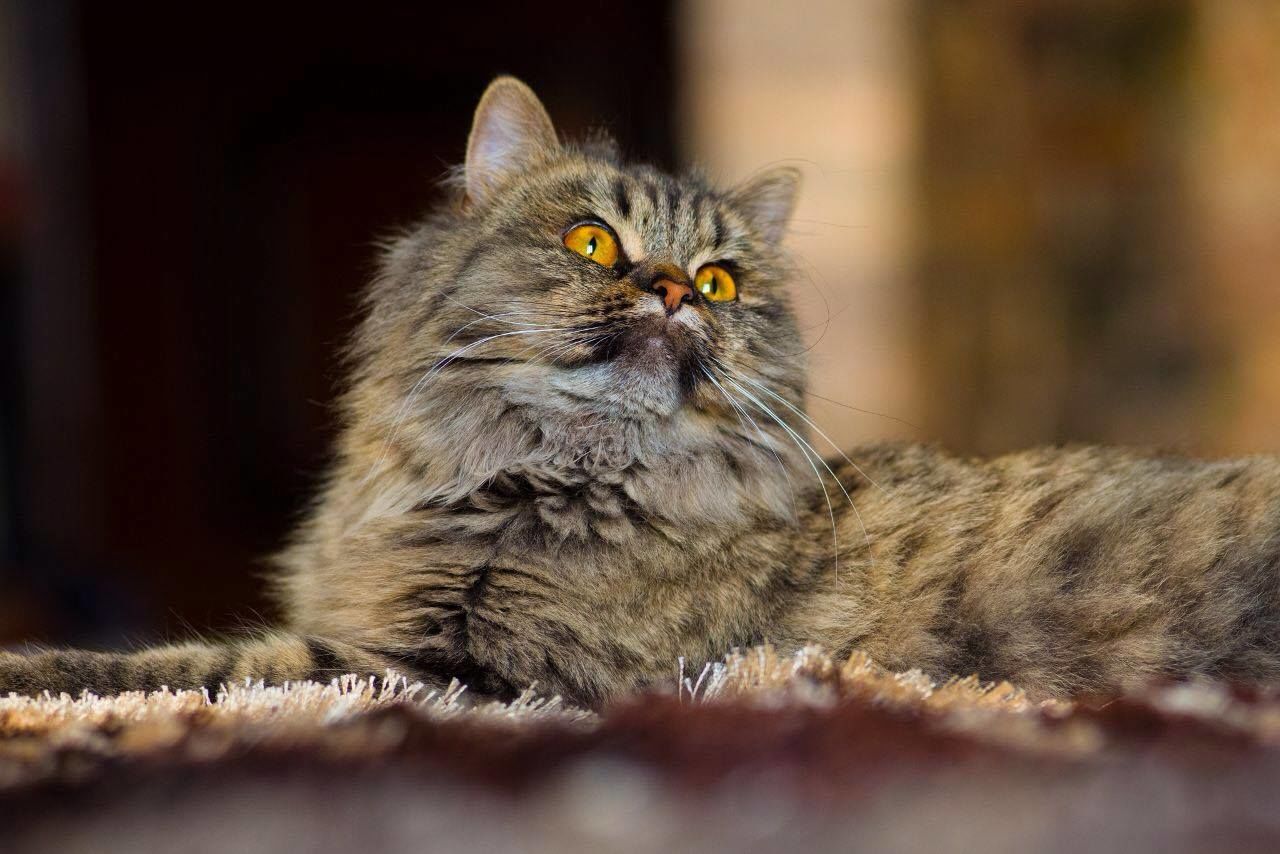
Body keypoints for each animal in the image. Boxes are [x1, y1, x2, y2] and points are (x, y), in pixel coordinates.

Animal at [7, 76, 1280, 706]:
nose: (671, 289)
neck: (524, 473)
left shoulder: (459, 669)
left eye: (717, 278)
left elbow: (184, 664)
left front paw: (32, 673)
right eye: (593, 242)